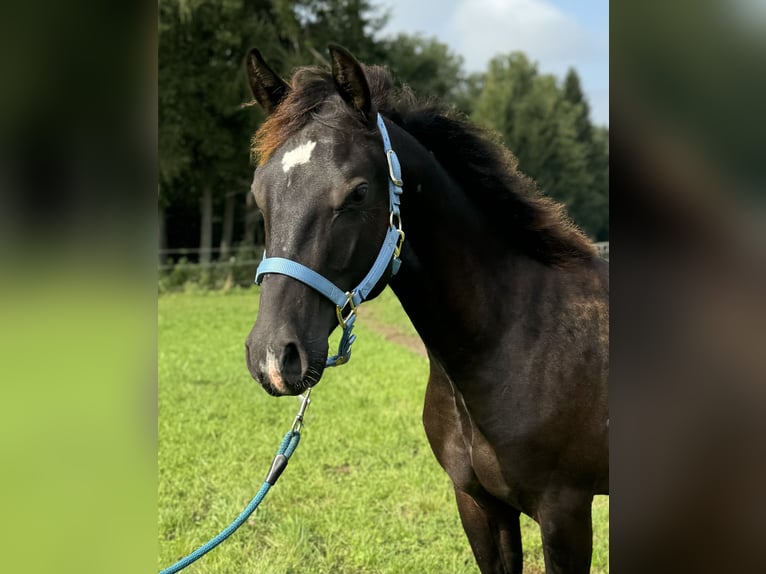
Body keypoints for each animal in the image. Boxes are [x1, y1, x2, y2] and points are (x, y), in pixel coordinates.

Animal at [243, 45, 608, 574]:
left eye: (357, 192)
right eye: (259, 192)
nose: (274, 357)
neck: (519, 342)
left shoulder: (566, 515)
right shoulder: (478, 504)